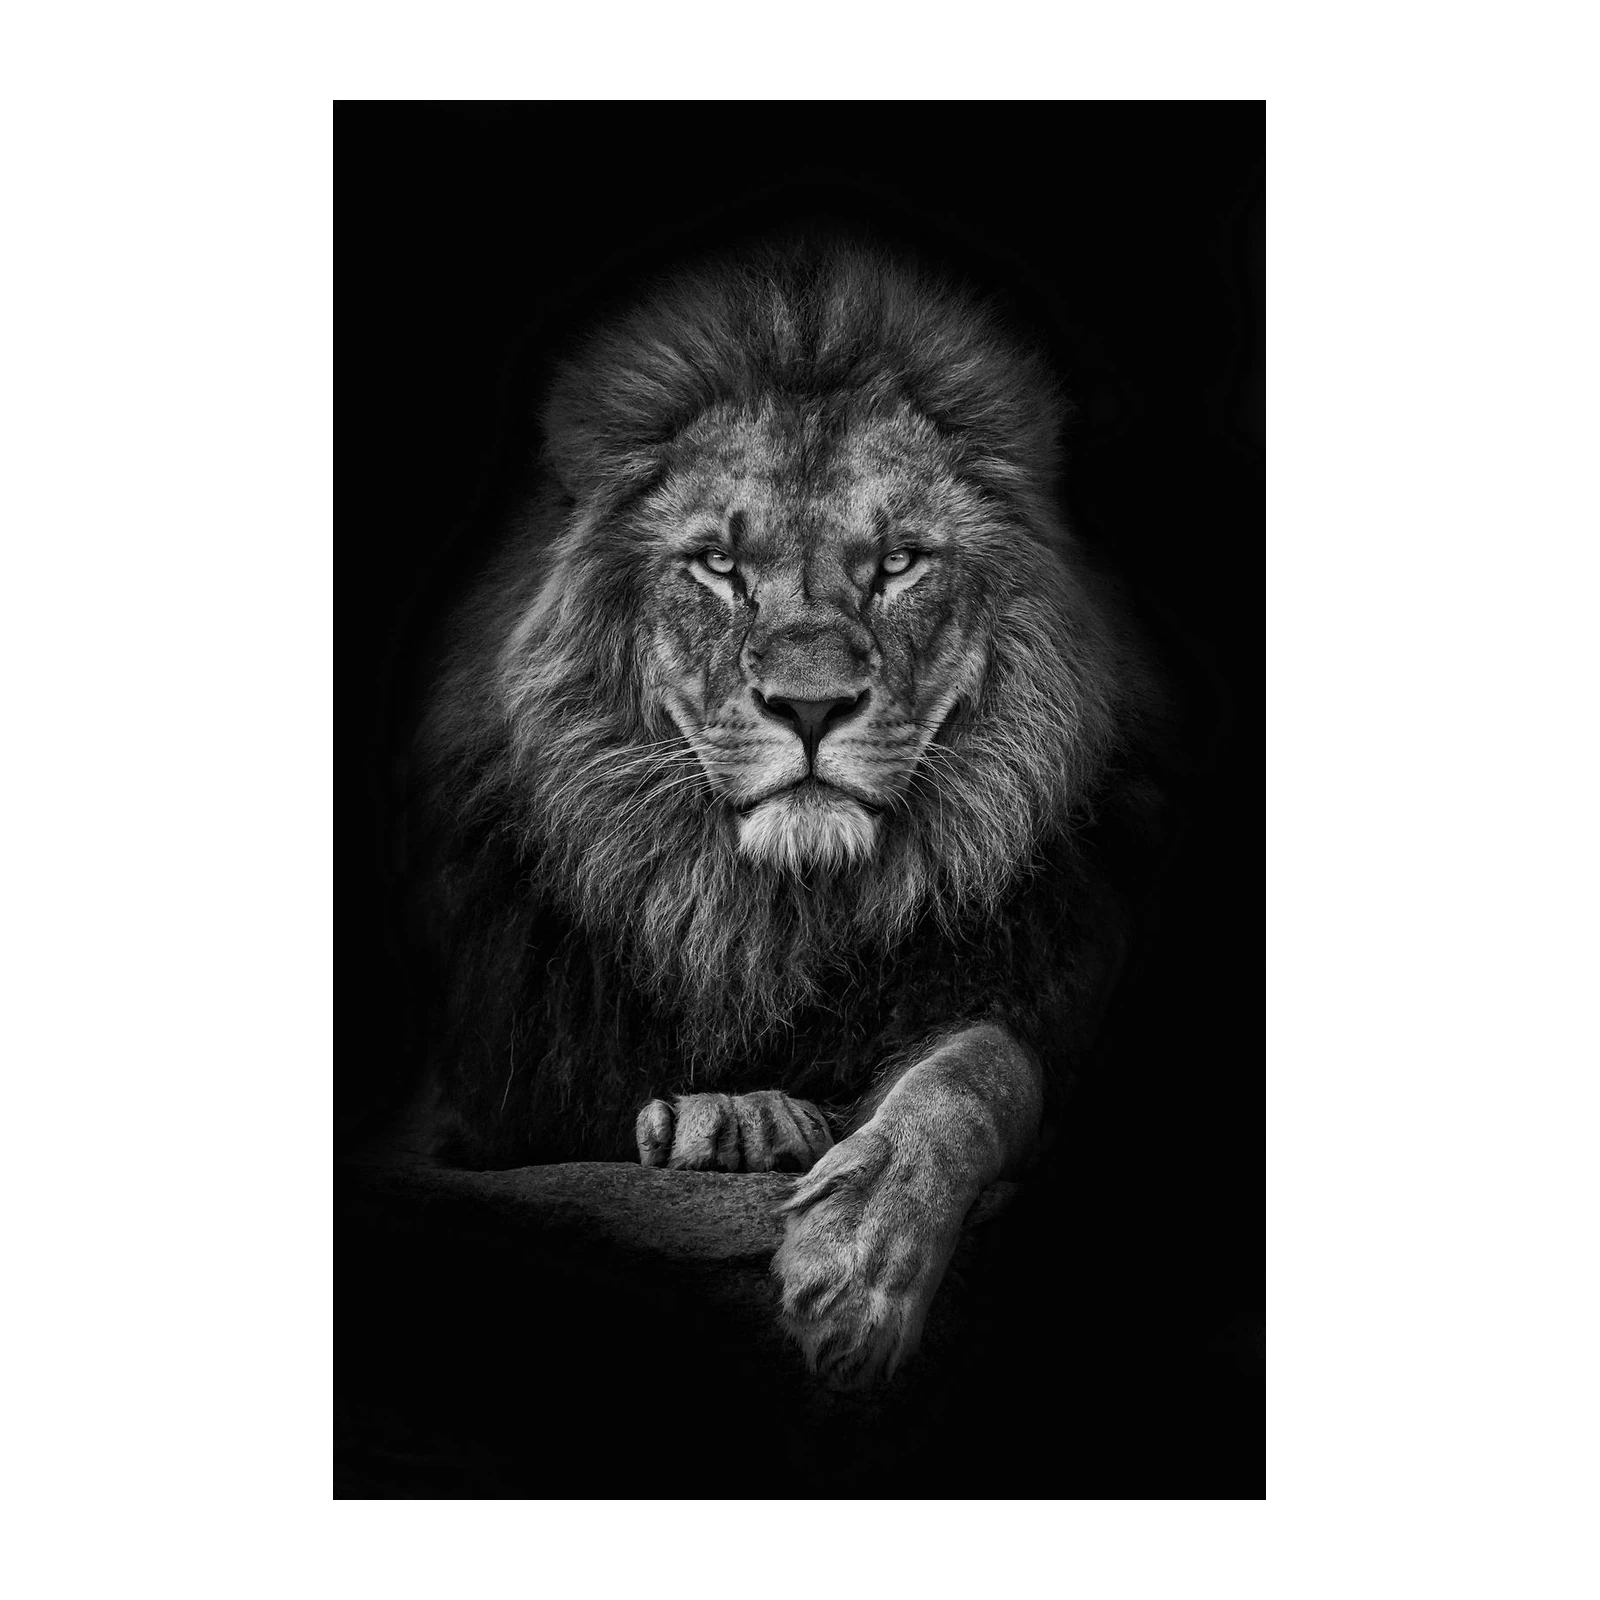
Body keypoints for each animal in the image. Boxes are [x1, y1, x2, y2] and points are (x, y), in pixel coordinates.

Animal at [406, 236, 1169, 1391]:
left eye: (897, 562)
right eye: (720, 565)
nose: (810, 707)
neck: (774, 916)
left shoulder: (1044, 990)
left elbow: (977, 1069)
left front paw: (859, 1259)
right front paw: (733, 1117)